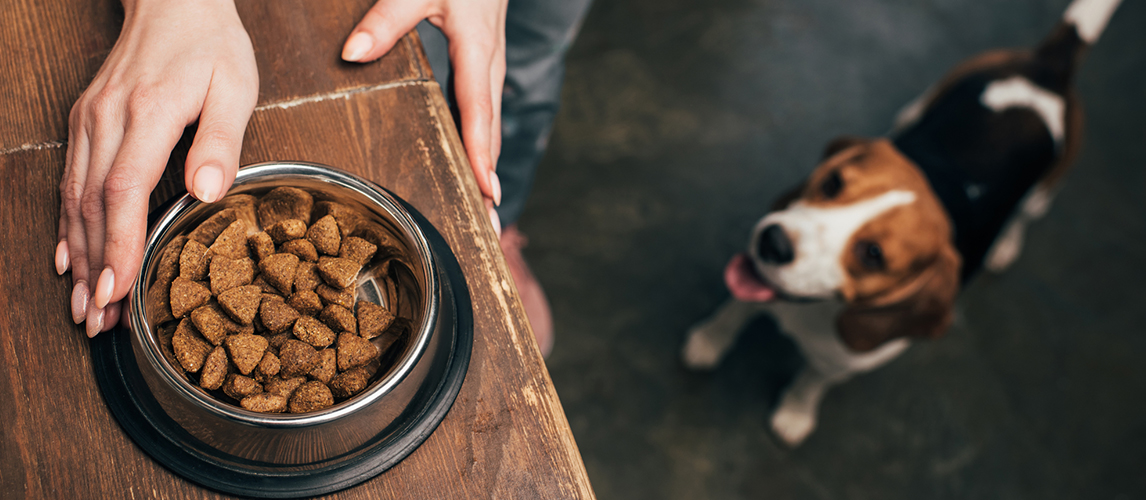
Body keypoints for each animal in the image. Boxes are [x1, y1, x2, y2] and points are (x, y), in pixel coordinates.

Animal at [678, 0, 1118, 447]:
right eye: (833, 182)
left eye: (873, 255)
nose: (772, 242)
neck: (816, 310)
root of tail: (1049, 67)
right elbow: (731, 314)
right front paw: (708, 343)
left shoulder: (841, 365)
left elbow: (812, 383)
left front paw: (795, 414)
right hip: (923, 103)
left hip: (1044, 192)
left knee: (1023, 218)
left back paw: (1005, 247)